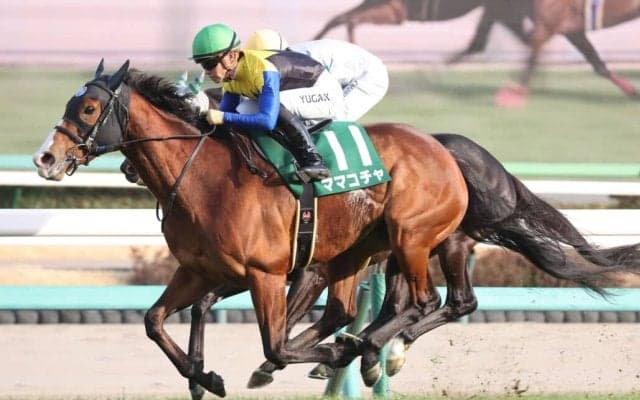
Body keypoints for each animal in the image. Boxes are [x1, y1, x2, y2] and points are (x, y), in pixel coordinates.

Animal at [32, 60, 469, 398]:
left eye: (89, 108)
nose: (45, 158)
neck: (205, 178)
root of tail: (442, 150)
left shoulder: (267, 273)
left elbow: (276, 345)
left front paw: (334, 354)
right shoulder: (199, 270)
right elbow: (155, 320)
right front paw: (204, 377)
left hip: (410, 239)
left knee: (426, 302)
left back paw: (376, 351)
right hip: (354, 253)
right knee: (346, 310)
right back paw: (364, 350)